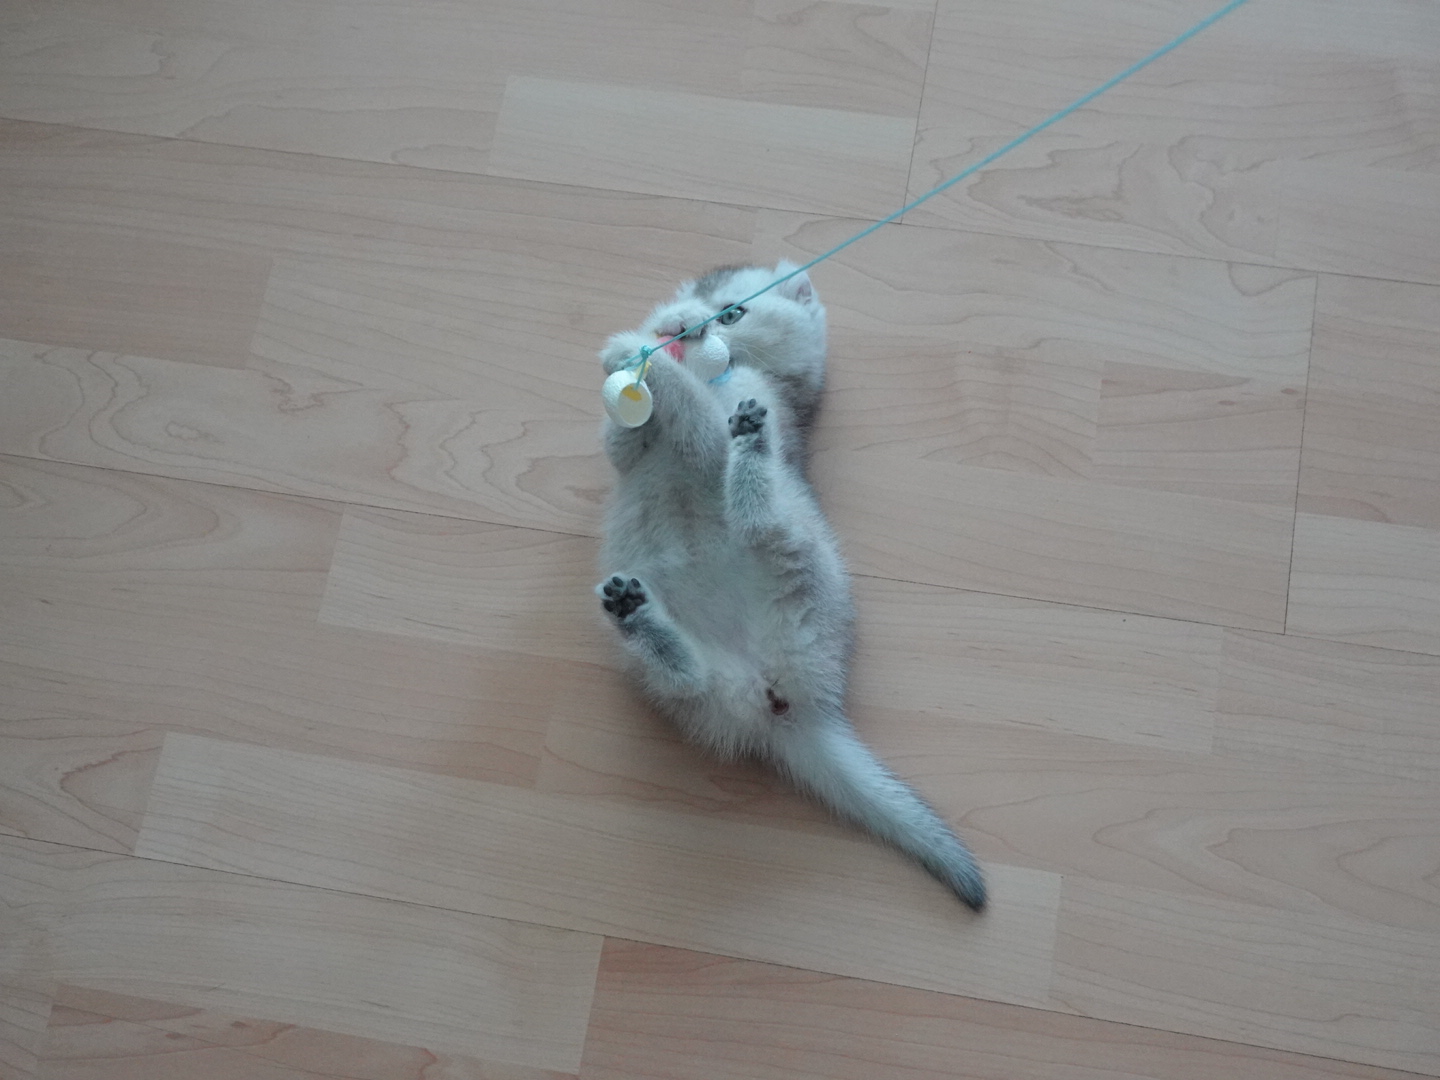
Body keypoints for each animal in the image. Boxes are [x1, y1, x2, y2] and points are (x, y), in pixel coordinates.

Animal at [595, 262, 987, 911]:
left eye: (731, 313)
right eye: (677, 311)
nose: (678, 328)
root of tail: (787, 704)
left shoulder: (739, 413)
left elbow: (702, 423)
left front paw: (634, 355)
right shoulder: (627, 457)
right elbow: (621, 444)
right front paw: (635, 373)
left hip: (805, 559)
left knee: (761, 519)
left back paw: (752, 451)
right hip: (694, 682)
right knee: (686, 677)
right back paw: (637, 615)